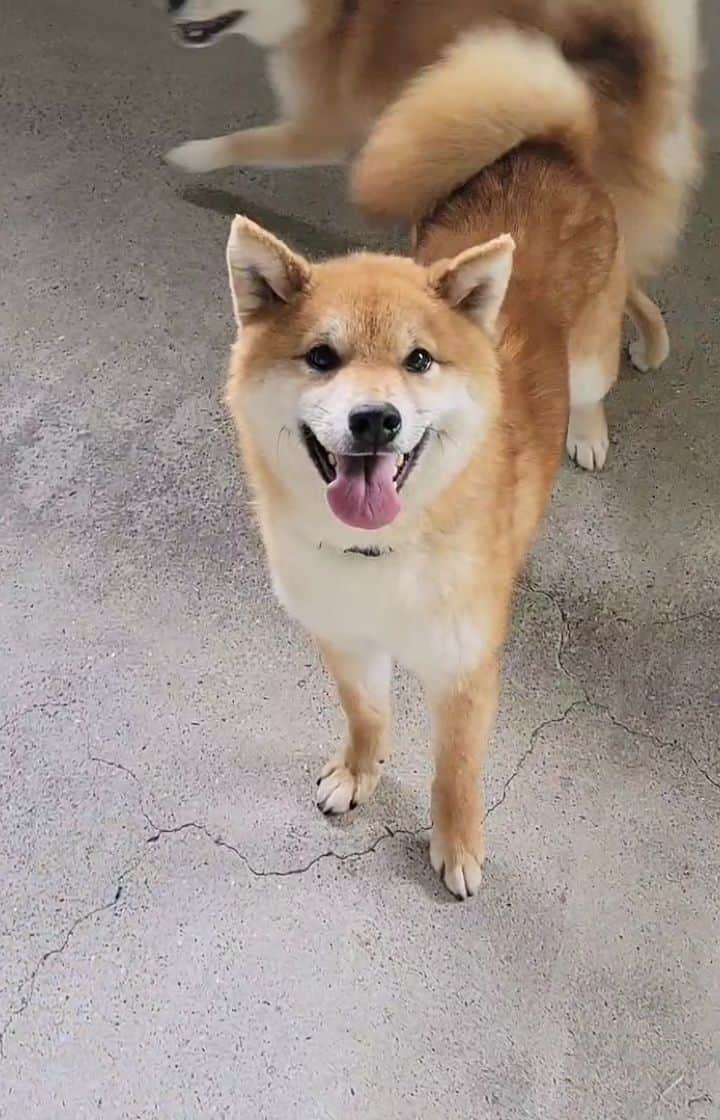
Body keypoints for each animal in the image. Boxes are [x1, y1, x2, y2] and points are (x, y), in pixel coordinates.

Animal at [227, 28, 662, 900]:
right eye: (321, 357)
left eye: (419, 360)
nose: (376, 419)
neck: (381, 553)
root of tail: (548, 147)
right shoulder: (346, 641)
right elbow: (366, 717)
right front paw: (359, 773)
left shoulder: (464, 670)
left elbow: (454, 771)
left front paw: (456, 845)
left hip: (591, 356)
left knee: (595, 386)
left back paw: (588, 432)